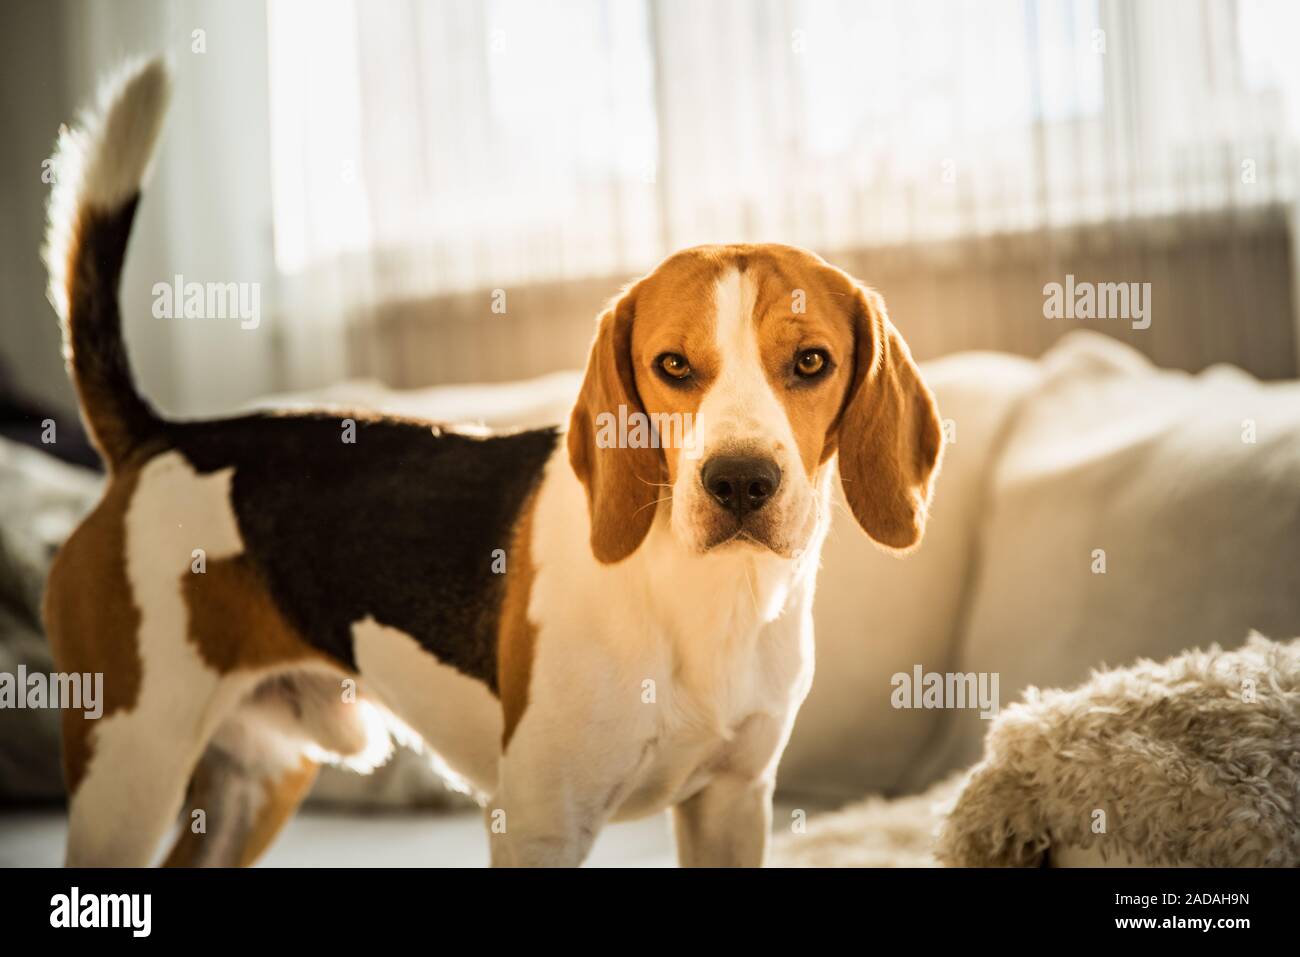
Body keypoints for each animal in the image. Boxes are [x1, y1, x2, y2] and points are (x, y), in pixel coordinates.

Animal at [38, 59, 935, 868]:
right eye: (673, 365)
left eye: (812, 362)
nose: (740, 481)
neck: (699, 593)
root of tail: (159, 436)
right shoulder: (538, 823)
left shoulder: (733, 805)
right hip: (129, 771)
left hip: (254, 781)